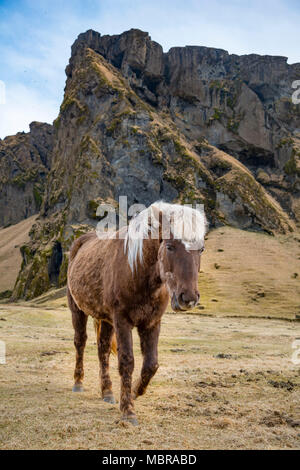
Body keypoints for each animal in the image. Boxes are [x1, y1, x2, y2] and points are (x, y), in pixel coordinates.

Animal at [68, 200, 207, 424]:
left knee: (103, 349)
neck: (137, 270)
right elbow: (127, 361)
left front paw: (133, 392)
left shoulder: (151, 322)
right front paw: (128, 411)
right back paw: (78, 383)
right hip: (78, 310)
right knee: (80, 342)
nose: (188, 298)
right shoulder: (122, 321)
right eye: (170, 246)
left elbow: (151, 364)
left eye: (201, 249)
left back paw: (107, 392)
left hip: (106, 320)